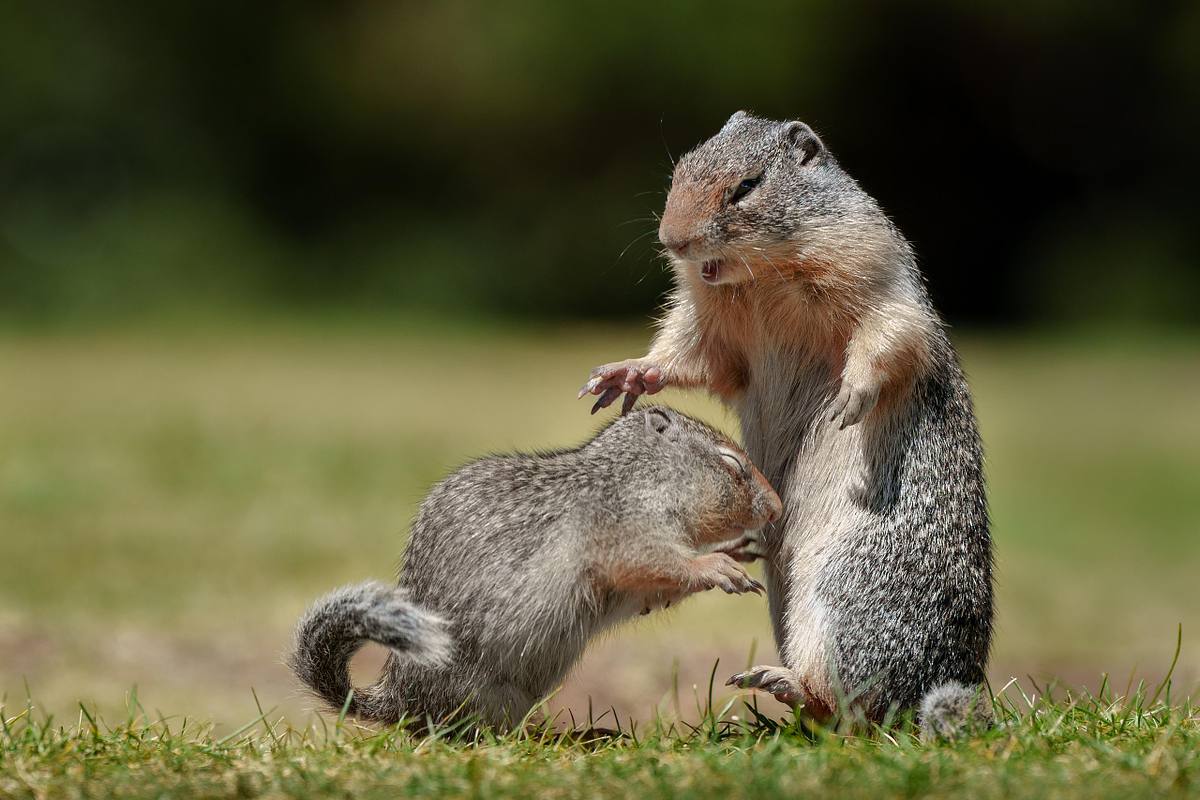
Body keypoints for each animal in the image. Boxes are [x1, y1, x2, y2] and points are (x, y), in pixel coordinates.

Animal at [289, 405, 782, 730]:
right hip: (483, 694)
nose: (777, 508)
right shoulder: (620, 532)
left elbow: (649, 592)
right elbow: (653, 565)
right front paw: (718, 566)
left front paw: (739, 548)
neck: (634, 479)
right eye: (732, 463)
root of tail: (400, 700)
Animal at [581, 111, 994, 738]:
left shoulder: (878, 273)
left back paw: (786, 681)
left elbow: (888, 335)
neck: (762, 275)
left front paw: (851, 397)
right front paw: (630, 373)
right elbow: (691, 353)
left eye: (748, 186)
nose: (672, 239)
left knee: (852, 704)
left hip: (845, 592)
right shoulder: (711, 321)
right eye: (680, 169)